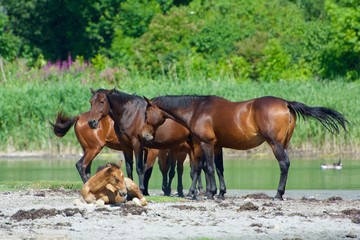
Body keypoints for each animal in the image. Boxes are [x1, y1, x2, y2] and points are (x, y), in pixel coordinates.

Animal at [141, 94, 348, 200]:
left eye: (146, 112)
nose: (145, 135)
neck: (197, 109)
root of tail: (286, 104)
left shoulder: (205, 144)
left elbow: (206, 168)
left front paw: (209, 193)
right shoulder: (217, 147)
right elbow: (218, 168)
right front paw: (220, 193)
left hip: (275, 145)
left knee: (284, 164)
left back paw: (278, 194)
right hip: (284, 143)